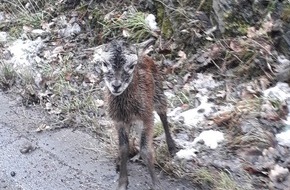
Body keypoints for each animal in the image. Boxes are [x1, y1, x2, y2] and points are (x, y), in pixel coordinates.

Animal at [93, 40, 176, 190]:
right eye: (104, 63)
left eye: (132, 66)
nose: (116, 86)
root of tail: (143, 53)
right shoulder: (119, 120)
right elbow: (123, 148)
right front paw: (122, 183)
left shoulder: (147, 117)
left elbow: (146, 150)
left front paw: (156, 184)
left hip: (158, 91)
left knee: (163, 114)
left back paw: (172, 147)